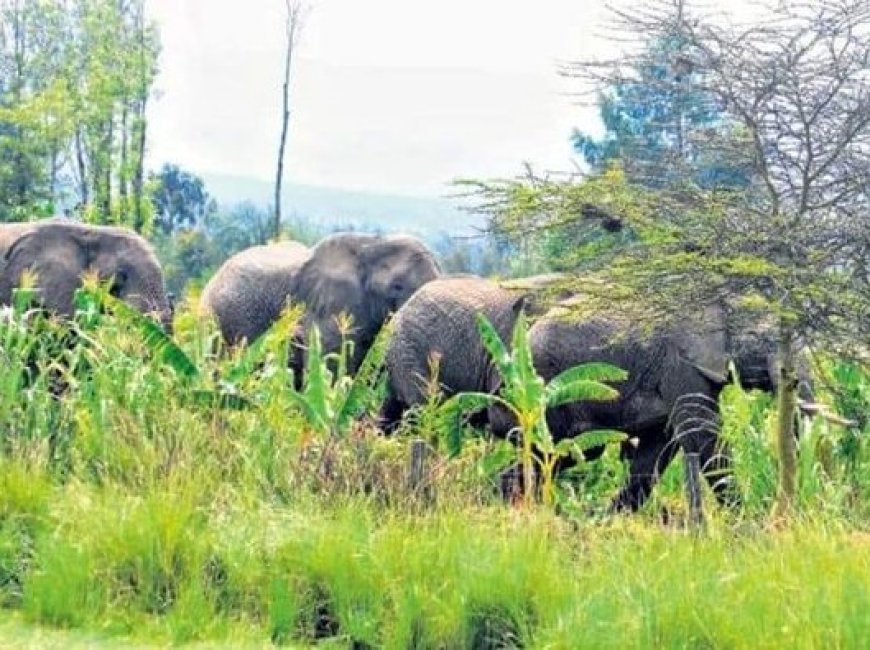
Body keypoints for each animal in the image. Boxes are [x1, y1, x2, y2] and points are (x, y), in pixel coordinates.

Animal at [510, 300, 816, 512]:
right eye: (767, 339)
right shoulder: (681, 365)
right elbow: (702, 434)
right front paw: (744, 521)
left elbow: (659, 449)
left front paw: (608, 520)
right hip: (549, 393)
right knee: (551, 453)